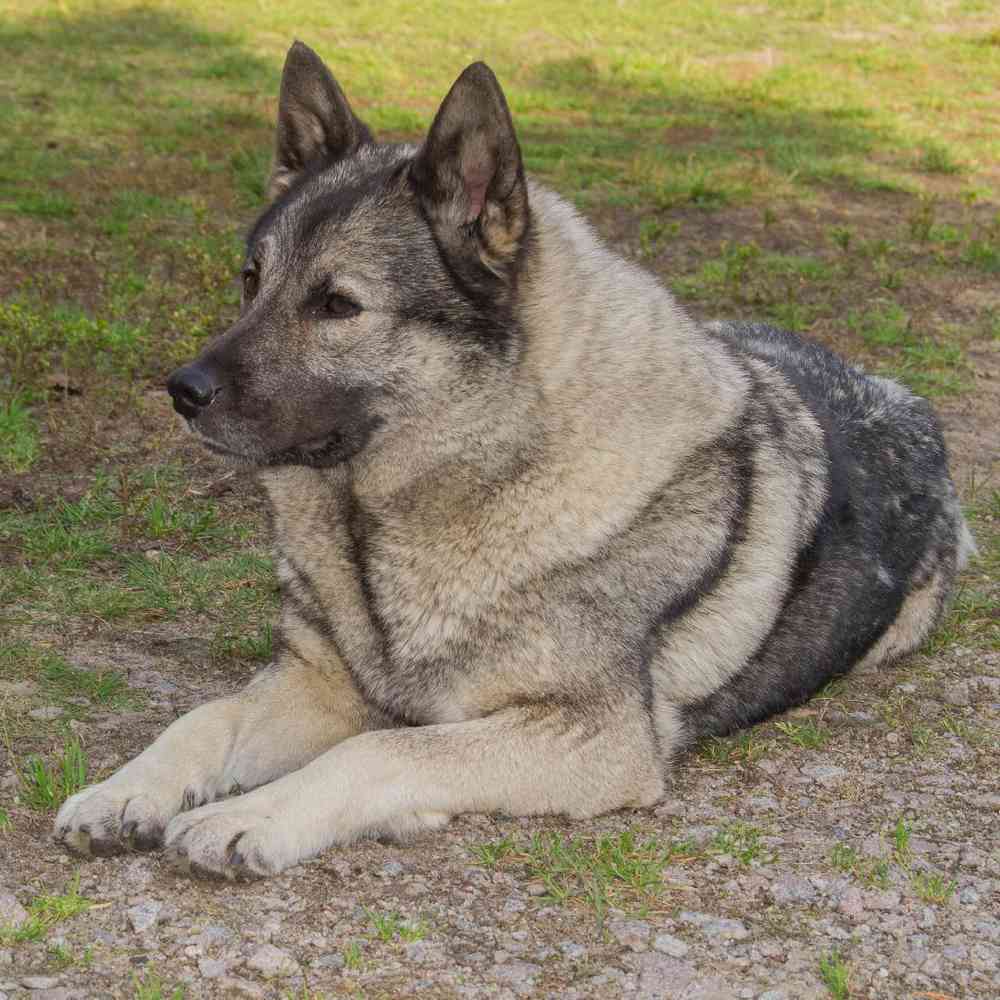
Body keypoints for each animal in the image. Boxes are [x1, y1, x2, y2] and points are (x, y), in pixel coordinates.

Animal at [52, 45, 968, 876]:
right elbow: (202, 718)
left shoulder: (593, 736)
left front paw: (255, 816)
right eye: (250, 281)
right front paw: (122, 790)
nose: (181, 391)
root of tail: (899, 395)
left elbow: (381, 751)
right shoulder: (316, 684)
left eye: (338, 305)